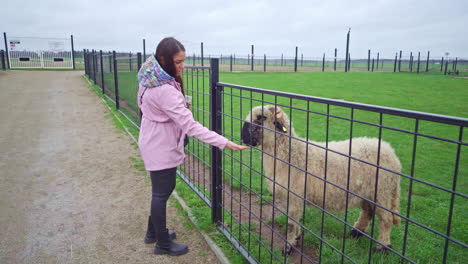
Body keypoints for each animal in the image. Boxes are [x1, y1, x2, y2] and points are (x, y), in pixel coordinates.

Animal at [241, 104, 402, 255]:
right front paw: (297, 238)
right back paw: (356, 232)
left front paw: (289, 246)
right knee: (368, 212)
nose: (243, 137)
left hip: (382, 191)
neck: (291, 155)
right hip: (368, 192)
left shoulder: (295, 195)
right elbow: (294, 220)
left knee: (386, 219)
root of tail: (392, 154)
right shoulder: (291, 197)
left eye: (261, 118)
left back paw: (383, 247)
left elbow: (291, 223)